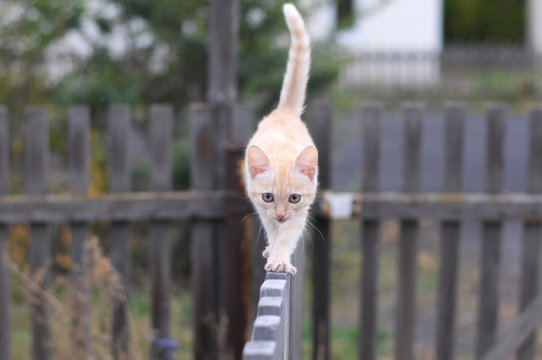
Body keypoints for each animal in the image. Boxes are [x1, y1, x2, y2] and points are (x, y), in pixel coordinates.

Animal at [244, 2, 316, 274]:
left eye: (294, 198)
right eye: (268, 196)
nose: (282, 214)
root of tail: (284, 111)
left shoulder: (302, 211)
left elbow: (287, 236)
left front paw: (280, 259)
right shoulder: (261, 206)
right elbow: (274, 231)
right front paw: (273, 251)